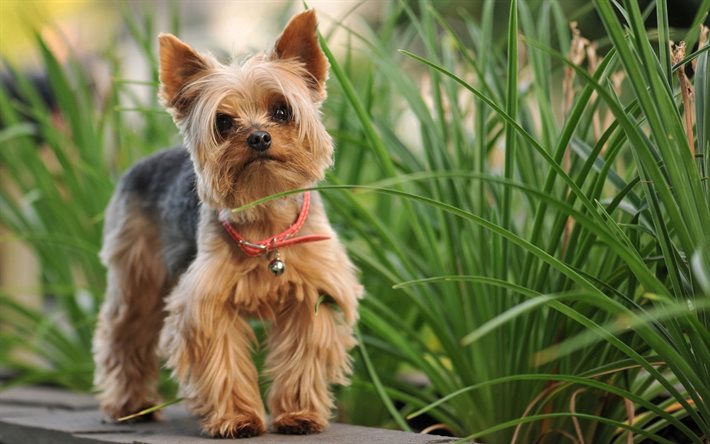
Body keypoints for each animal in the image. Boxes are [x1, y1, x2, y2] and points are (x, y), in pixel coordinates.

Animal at [90, 9, 362, 438]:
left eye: (282, 110)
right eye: (223, 121)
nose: (259, 137)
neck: (265, 215)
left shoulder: (312, 294)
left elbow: (303, 354)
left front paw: (299, 414)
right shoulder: (207, 304)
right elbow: (223, 361)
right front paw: (238, 419)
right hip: (137, 274)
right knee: (124, 333)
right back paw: (130, 406)